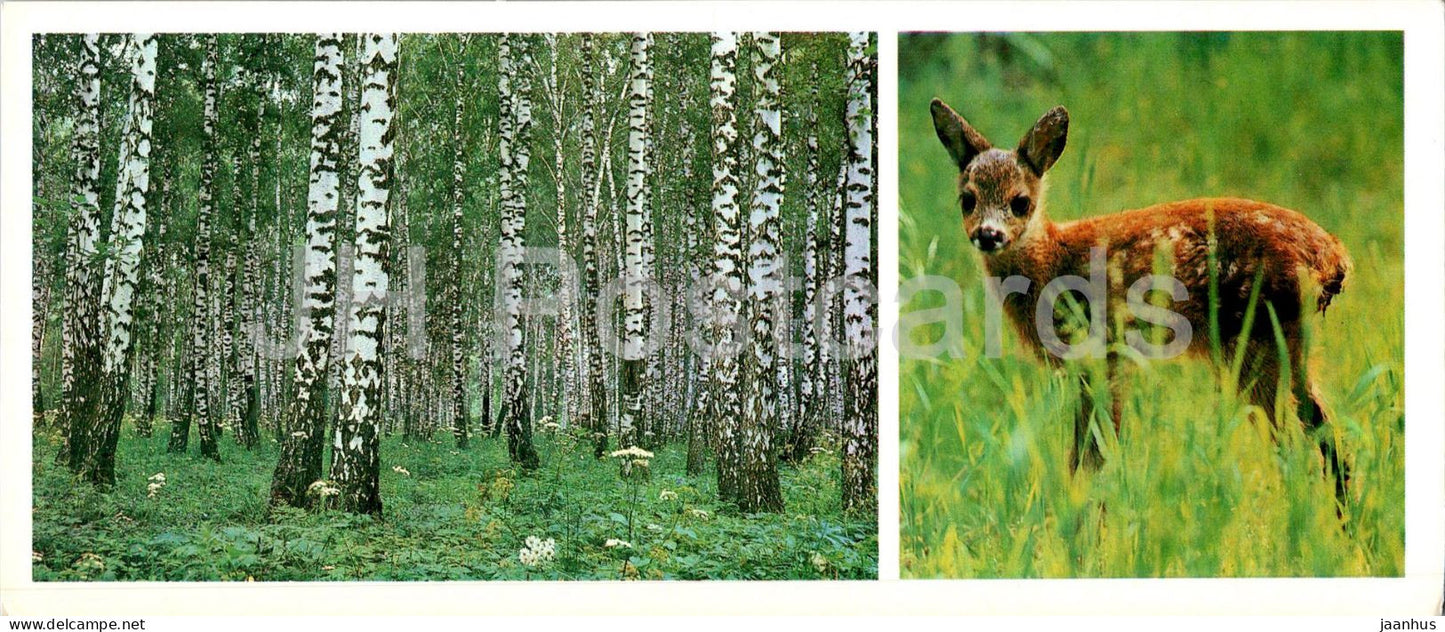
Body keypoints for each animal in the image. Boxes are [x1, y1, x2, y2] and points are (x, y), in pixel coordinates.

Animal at [929, 98, 1353, 507]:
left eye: (1020, 202)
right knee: (1325, 438)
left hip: (1255, 340)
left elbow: (1093, 458)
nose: (988, 234)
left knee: (1298, 447)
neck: (1051, 260)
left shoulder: (1106, 355)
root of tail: (1334, 259)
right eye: (967, 199)